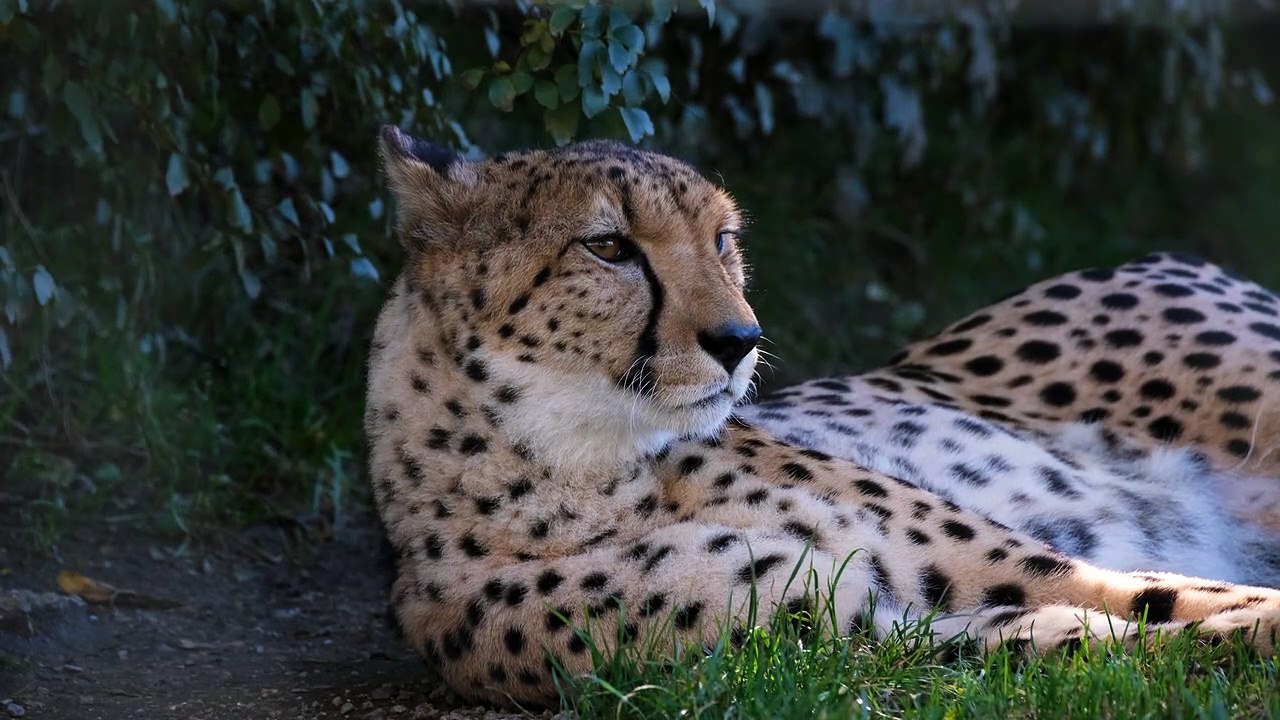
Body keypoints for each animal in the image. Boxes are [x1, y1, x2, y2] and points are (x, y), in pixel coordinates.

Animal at [365, 125, 1280, 708]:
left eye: (722, 239)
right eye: (609, 246)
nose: (740, 339)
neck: (568, 472)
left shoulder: (1027, 569)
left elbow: (1169, 593)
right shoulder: (864, 640)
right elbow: (1110, 639)